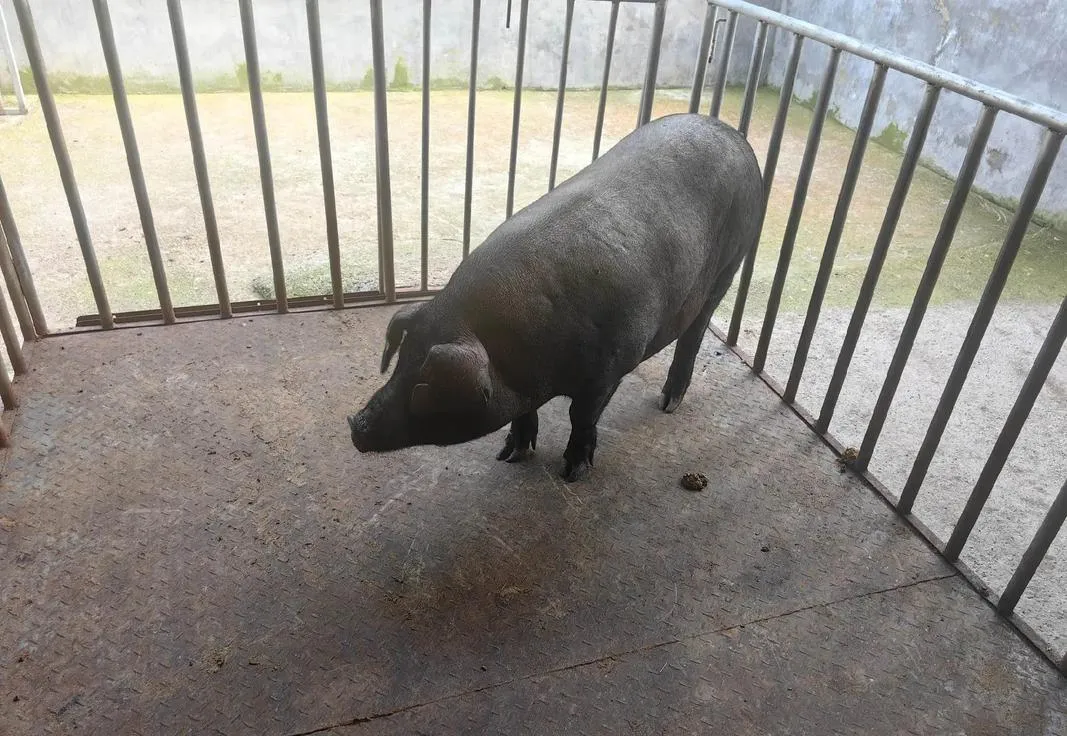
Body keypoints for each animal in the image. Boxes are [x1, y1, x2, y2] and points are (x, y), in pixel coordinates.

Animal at [348, 112, 764, 482]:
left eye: (424, 385)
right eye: (401, 361)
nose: (355, 423)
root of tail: (735, 135)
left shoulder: (612, 365)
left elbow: (582, 417)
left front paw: (573, 473)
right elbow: (524, 414)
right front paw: (511, 455)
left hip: (731, 264)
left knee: (694, 333)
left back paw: (668, 405)